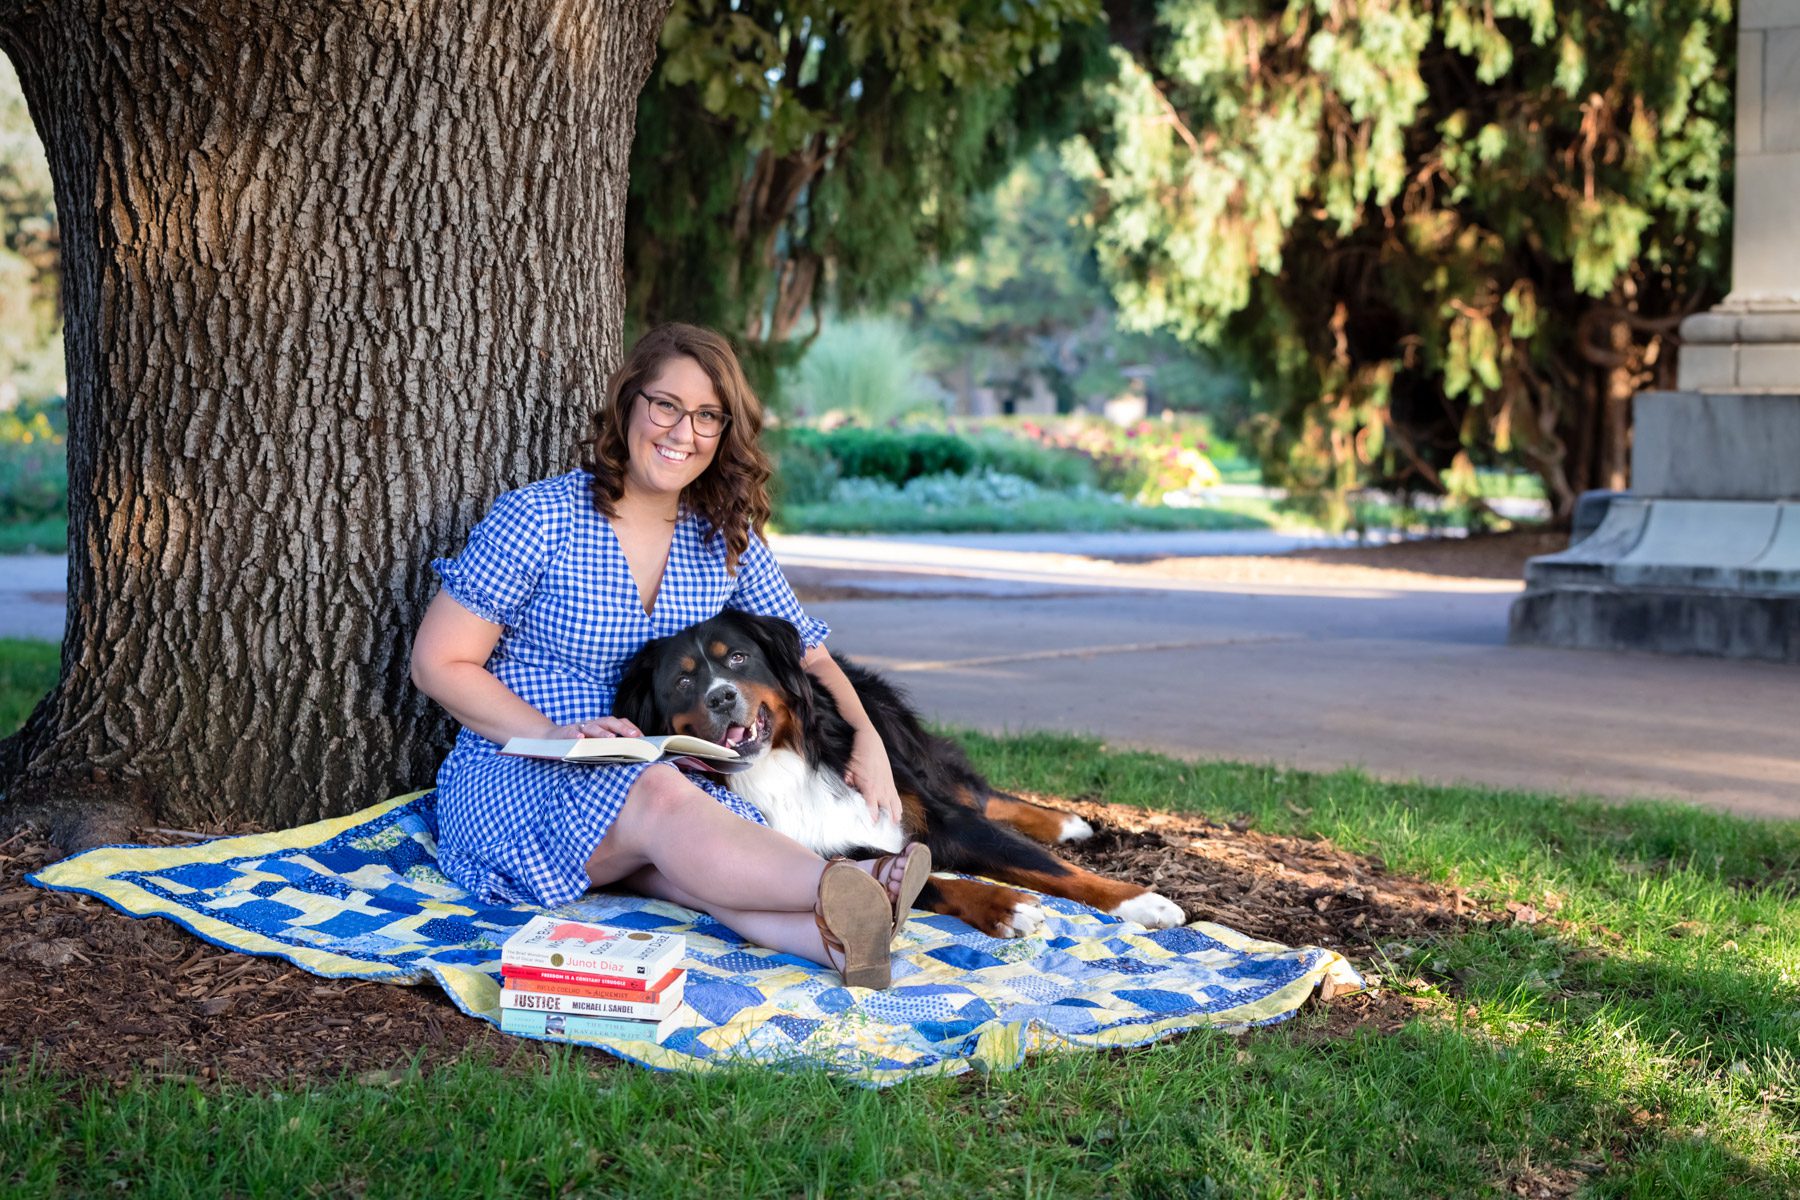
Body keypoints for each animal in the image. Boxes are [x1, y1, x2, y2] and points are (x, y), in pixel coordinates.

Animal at [612, 611, 1188, 935]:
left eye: (736, 657)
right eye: (684, 682)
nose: (722, 696)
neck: (781, 761)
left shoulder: (934, 814)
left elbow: (1047, 866)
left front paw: (1141, 901)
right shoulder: (834, 850)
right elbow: (926, 879)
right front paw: (1004, 905)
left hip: (896, 739)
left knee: (973, 790)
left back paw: (1068, 823)